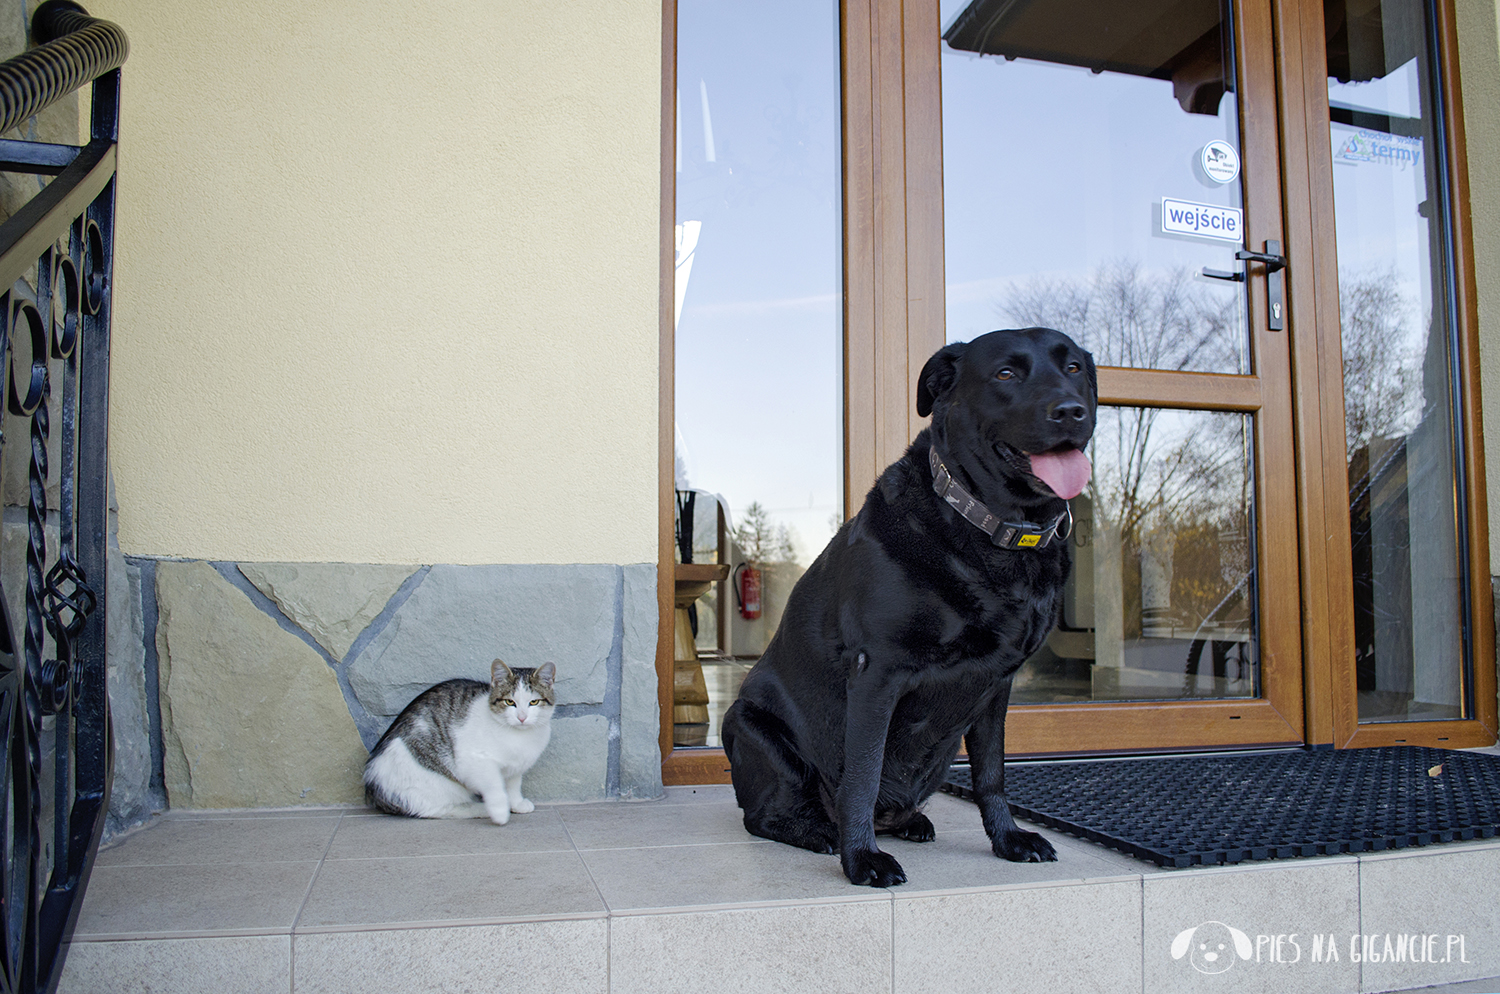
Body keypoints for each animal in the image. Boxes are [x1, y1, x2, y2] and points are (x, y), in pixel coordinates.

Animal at [363, 659, 558, 821]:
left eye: (534, 702)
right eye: (510, 702)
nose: (522, 717)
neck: (519, 736)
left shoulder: (515, 767)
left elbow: (513, 786)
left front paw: (516, 803)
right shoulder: (475, 761)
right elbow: (494, 785)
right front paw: (500, 811)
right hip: (434, 784)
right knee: (434, 809)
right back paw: (481, 809)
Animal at [720, 329, 1098, 887]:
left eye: (1073, 368)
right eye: (1006, 374)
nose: (1071, 411)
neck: (993, 530)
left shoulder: (998, 683)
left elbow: (992, 774)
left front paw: (1008, 839)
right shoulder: (877, 671)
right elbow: (862, 774)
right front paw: (862, 859)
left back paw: (911, 821)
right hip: (747, 724)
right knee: (764, 816)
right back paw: (819, 831)